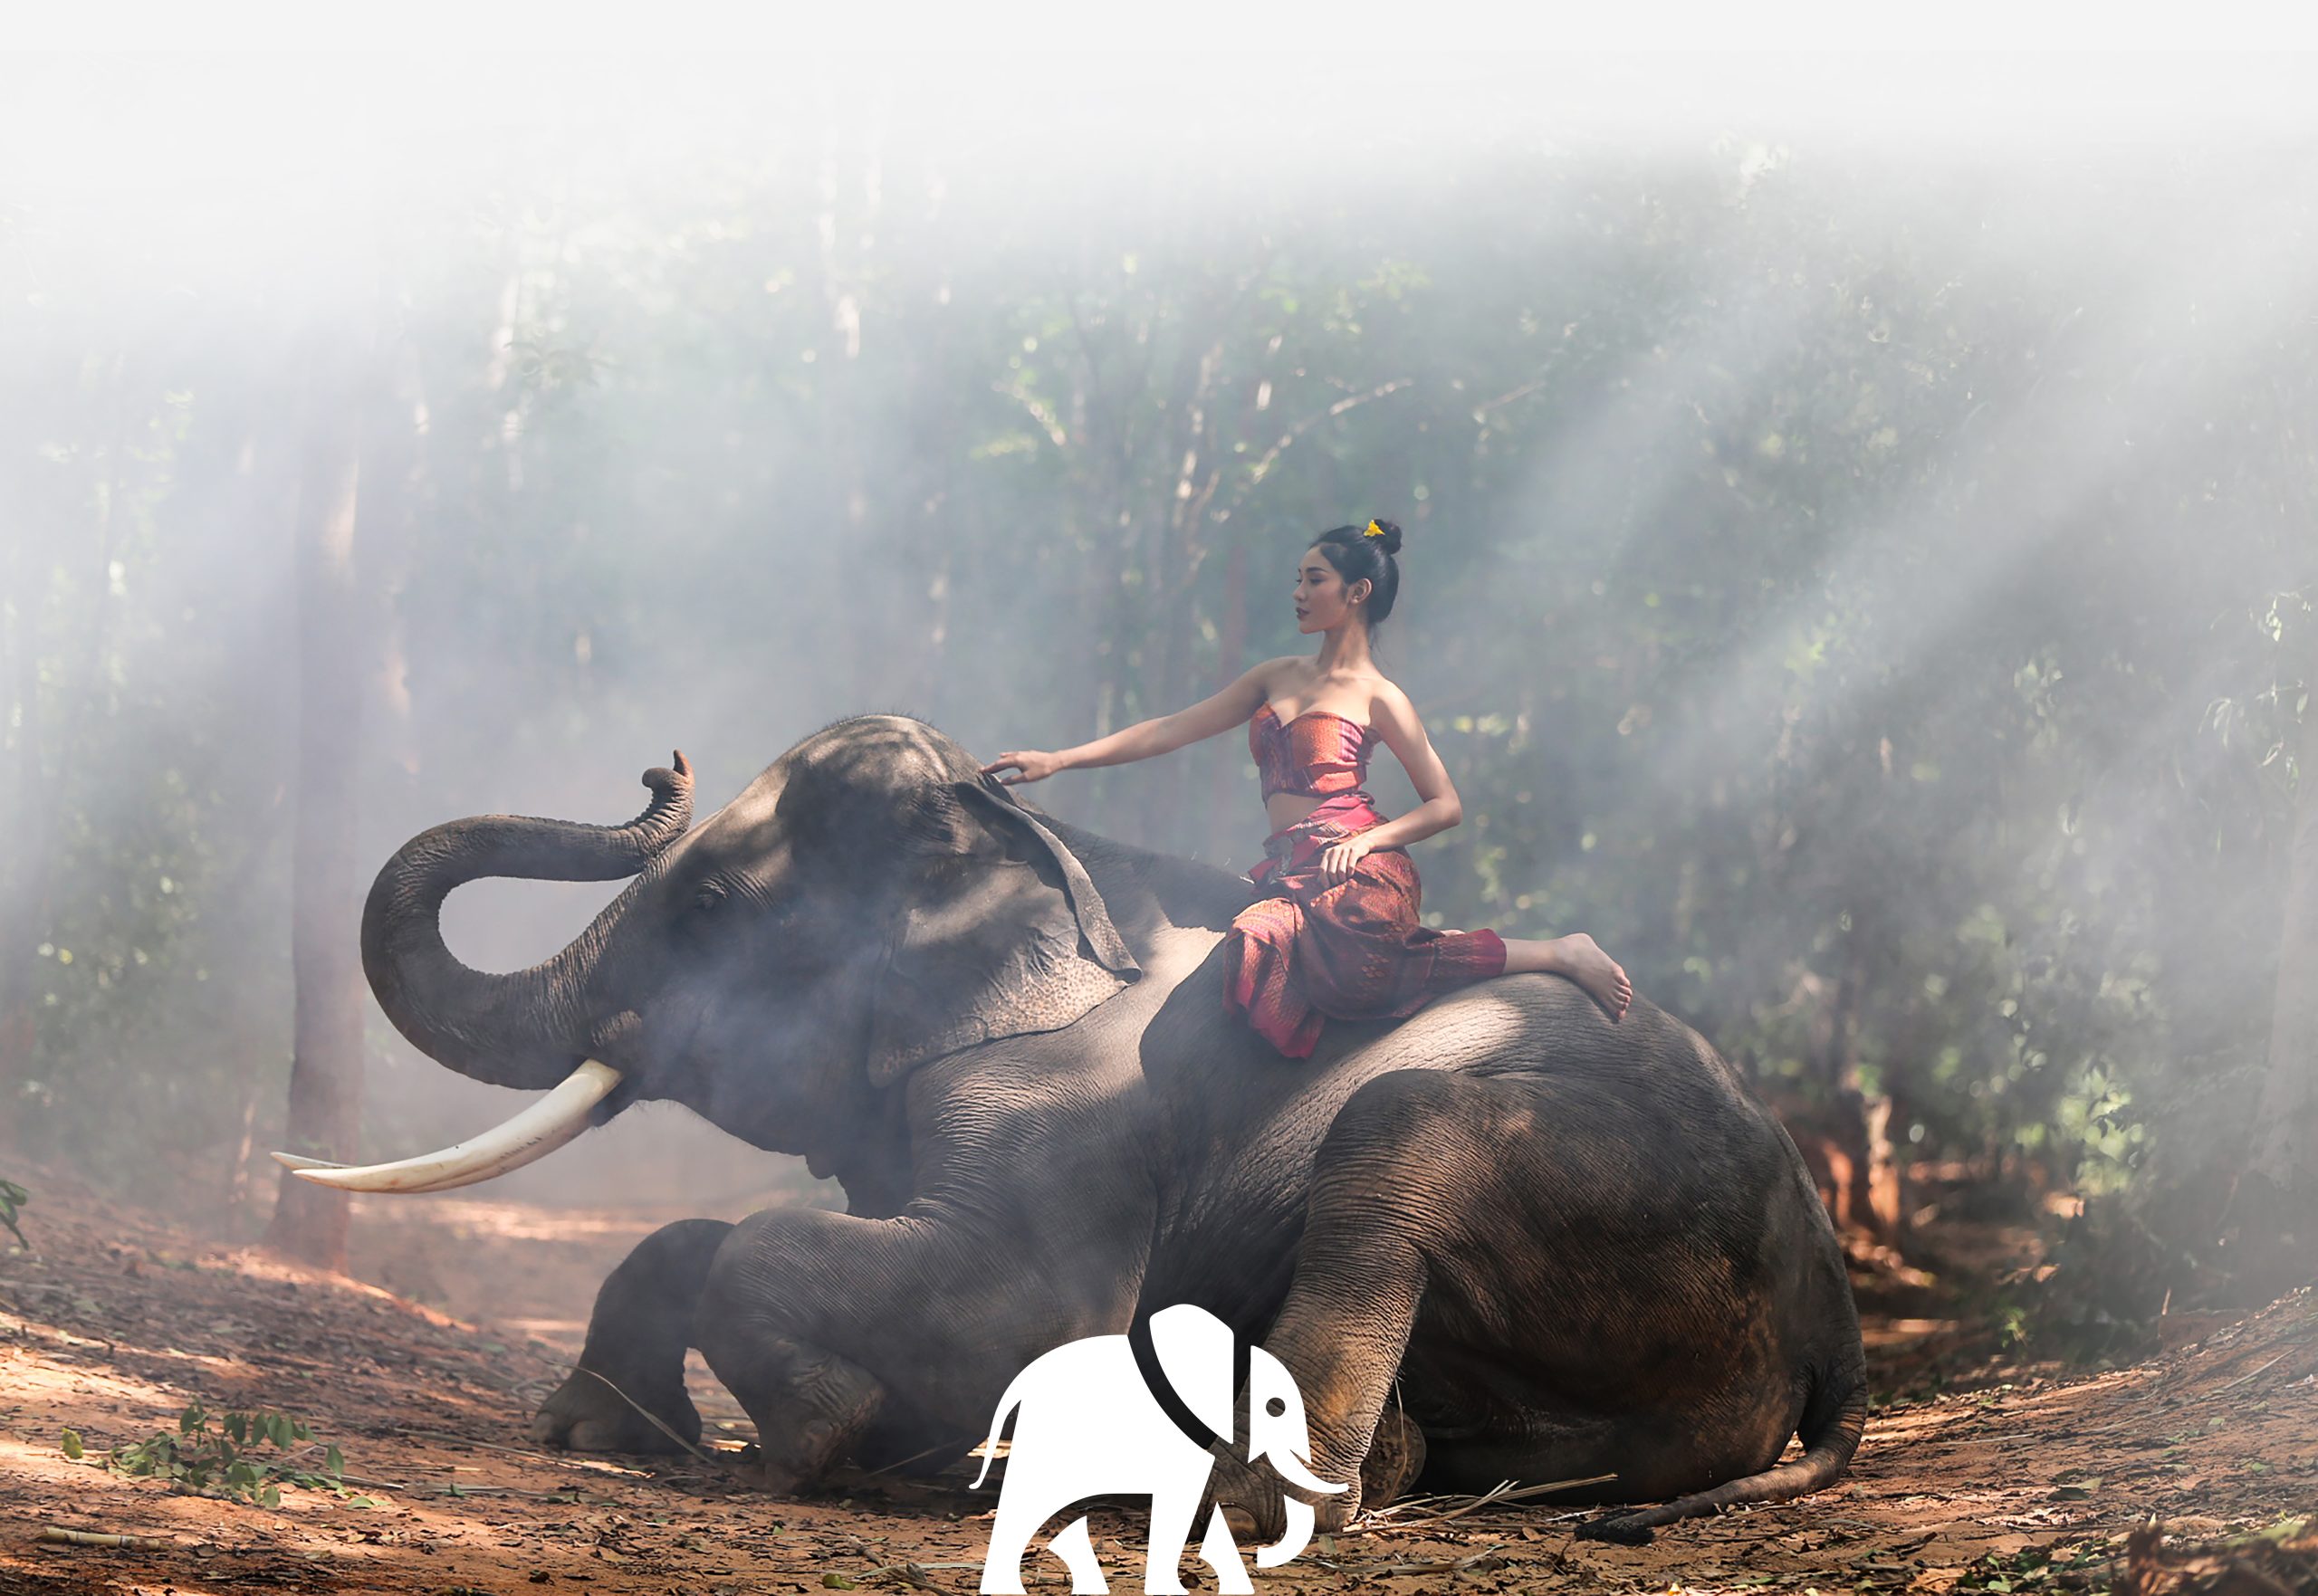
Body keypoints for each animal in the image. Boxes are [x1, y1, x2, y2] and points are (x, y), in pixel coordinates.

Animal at [282, 714, 1867, 1544]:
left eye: (716, 906)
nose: (655, 767)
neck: (1043, 853)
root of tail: (1831, 1311)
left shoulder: (1075, 1113)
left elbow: (1008, 1303)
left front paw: (836, 1437)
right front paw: (603, 1430)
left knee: (1396, 1130)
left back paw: (1241, 1493)